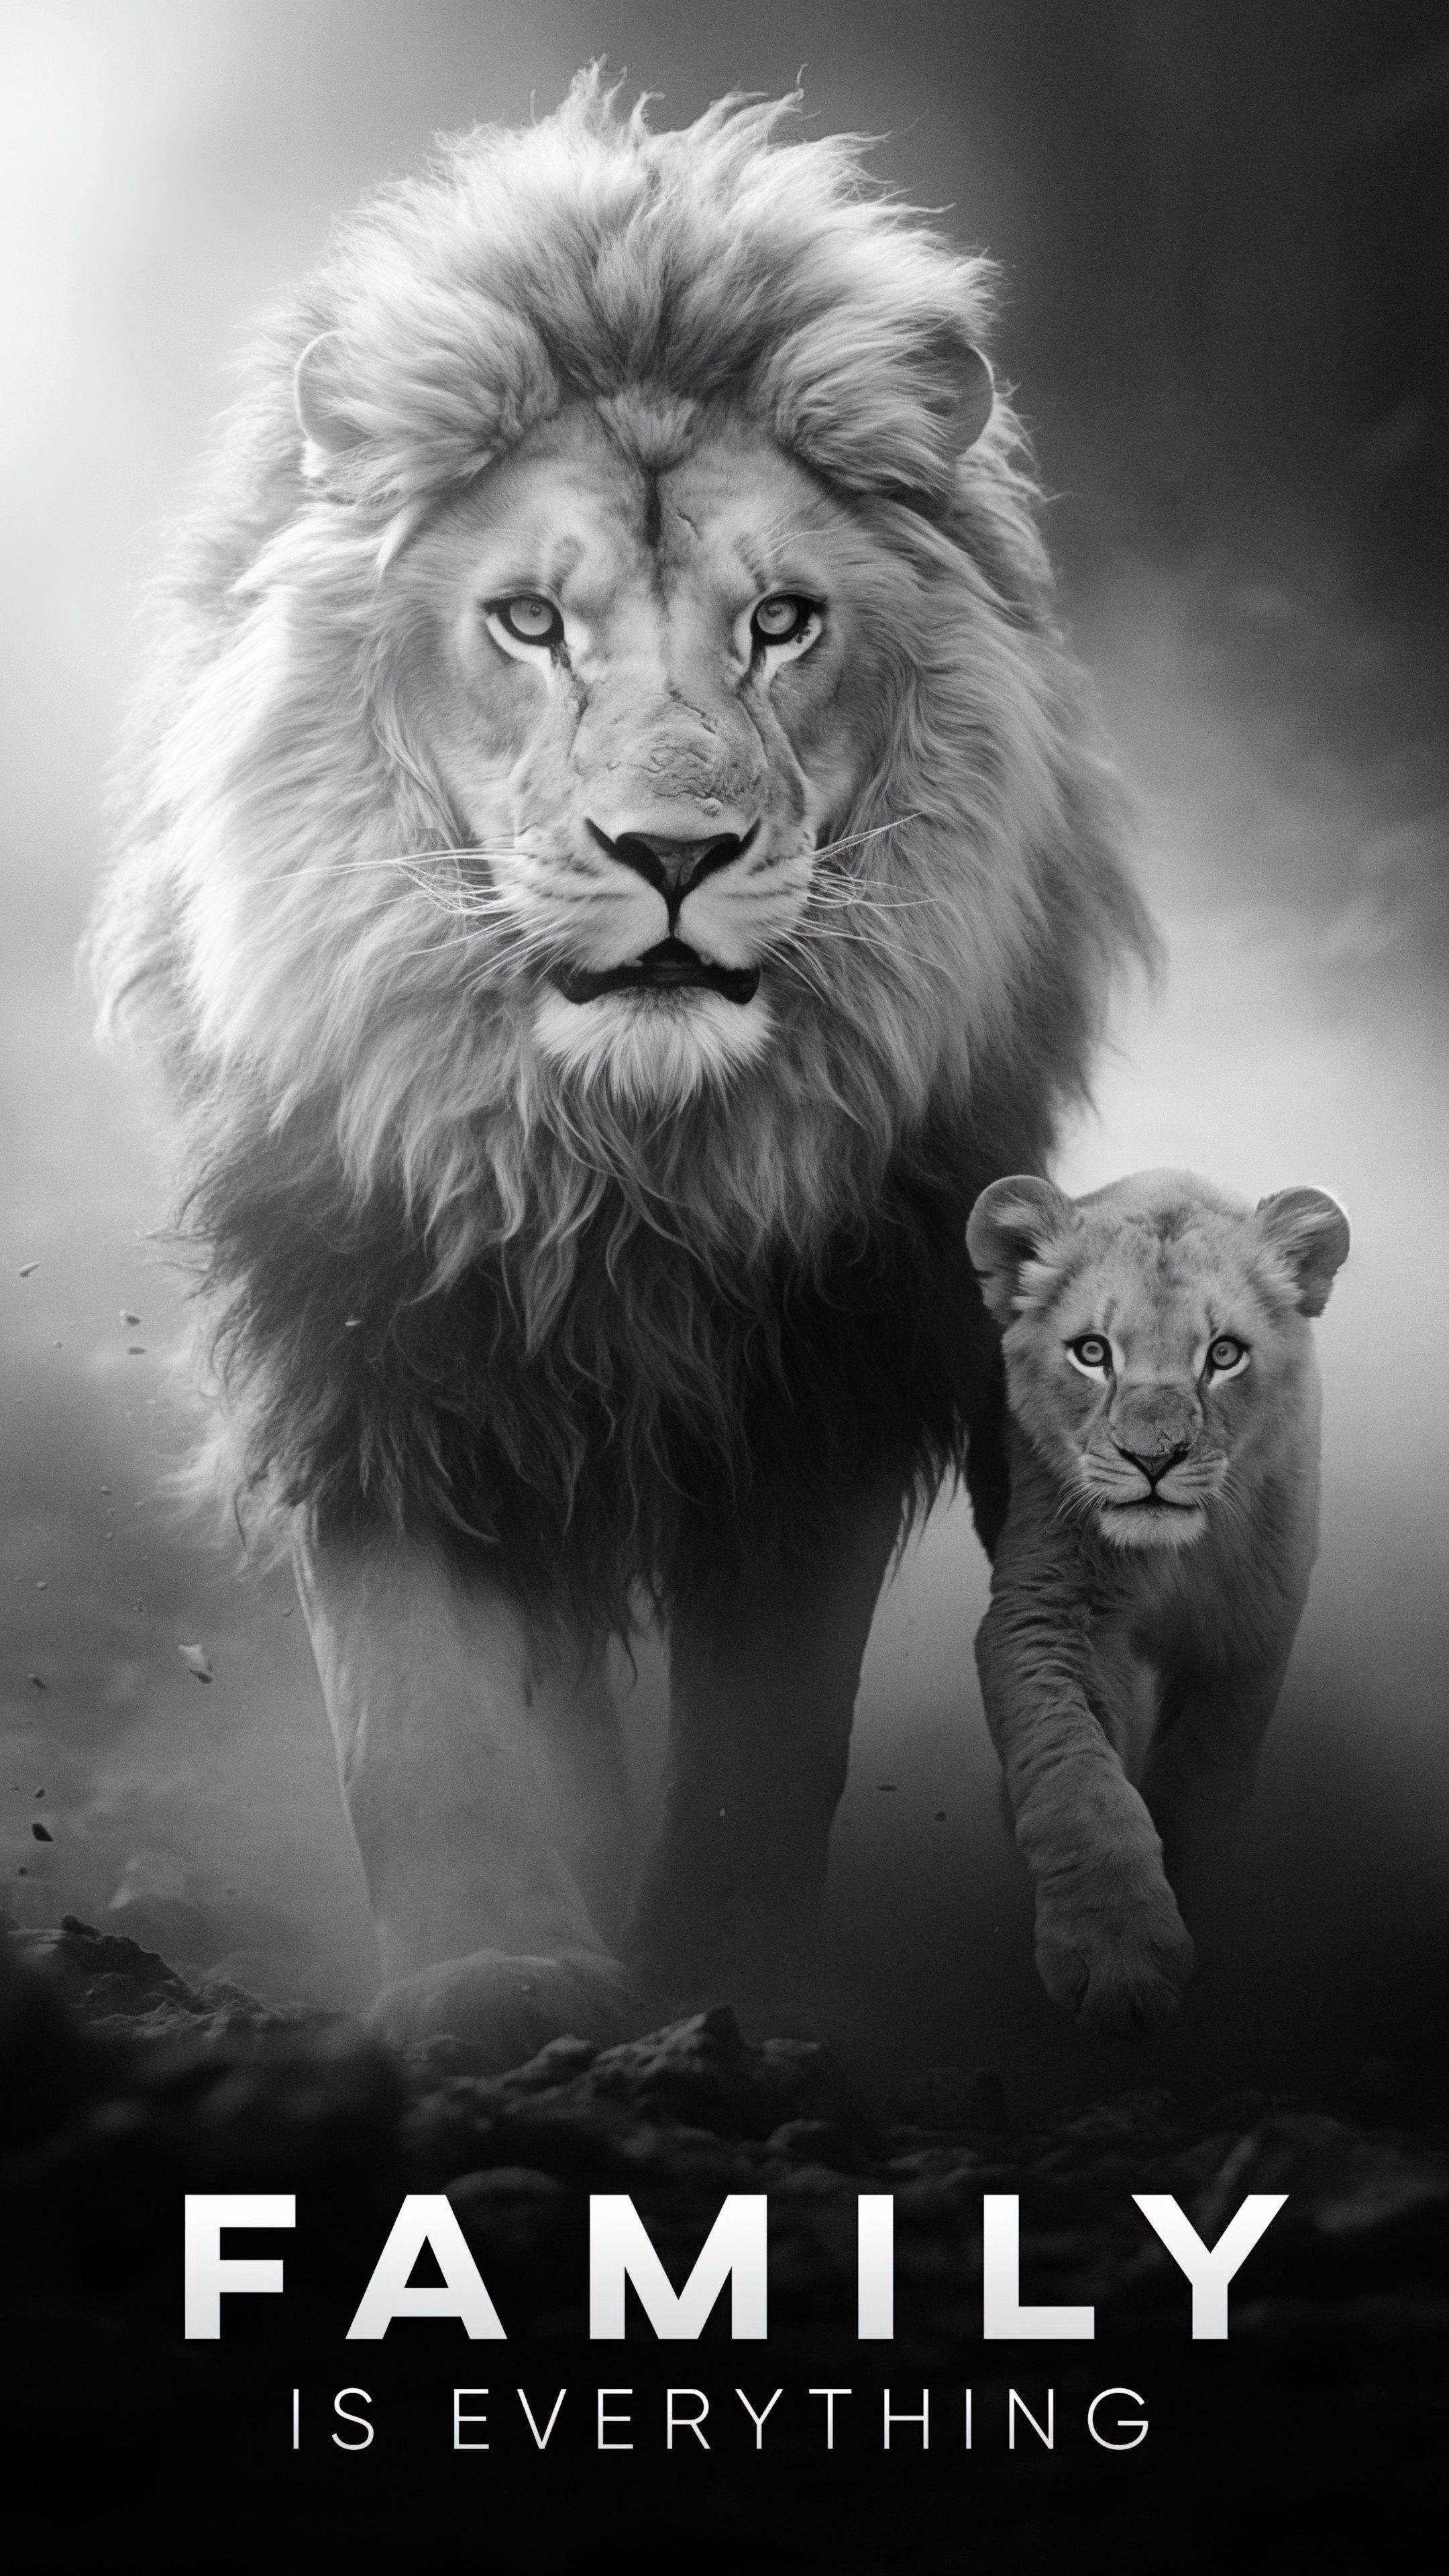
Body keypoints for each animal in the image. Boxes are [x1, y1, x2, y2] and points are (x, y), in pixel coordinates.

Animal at [90, 74, 1150, 2066]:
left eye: (782, 620)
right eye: (528, 621)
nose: (671, 852)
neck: (619, 1156)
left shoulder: (829, 1369)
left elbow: (764, 1742)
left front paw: (724, 1982)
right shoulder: (365, 1335)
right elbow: (420, 1716)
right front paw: (494, 1979)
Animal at [966, 1168, 1350, 2036]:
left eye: (1224, 1355)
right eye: (1093, 1352)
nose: (1153, 1460)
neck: (1169, 1558)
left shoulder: (1250, 1632)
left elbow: (1204, 1770)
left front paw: (1195, 1903)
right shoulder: (1044, 1614)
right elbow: (1078, 1780)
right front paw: (1116, 1957)